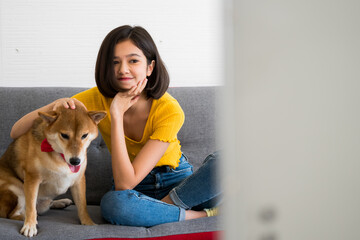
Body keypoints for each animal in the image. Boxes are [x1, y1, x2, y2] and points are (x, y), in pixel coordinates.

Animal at [0, 102, 106, 236]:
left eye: (84, 135)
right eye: (64, 135)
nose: (75, 161)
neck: (60, 157)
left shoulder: (78, 180)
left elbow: (82, 205)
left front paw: (88, 223)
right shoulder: (32, 178)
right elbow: (30, 206)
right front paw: (29, 225)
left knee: (43, 205)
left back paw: (60, 202)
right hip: (17, 188)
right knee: (12, 214)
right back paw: (28, 217)